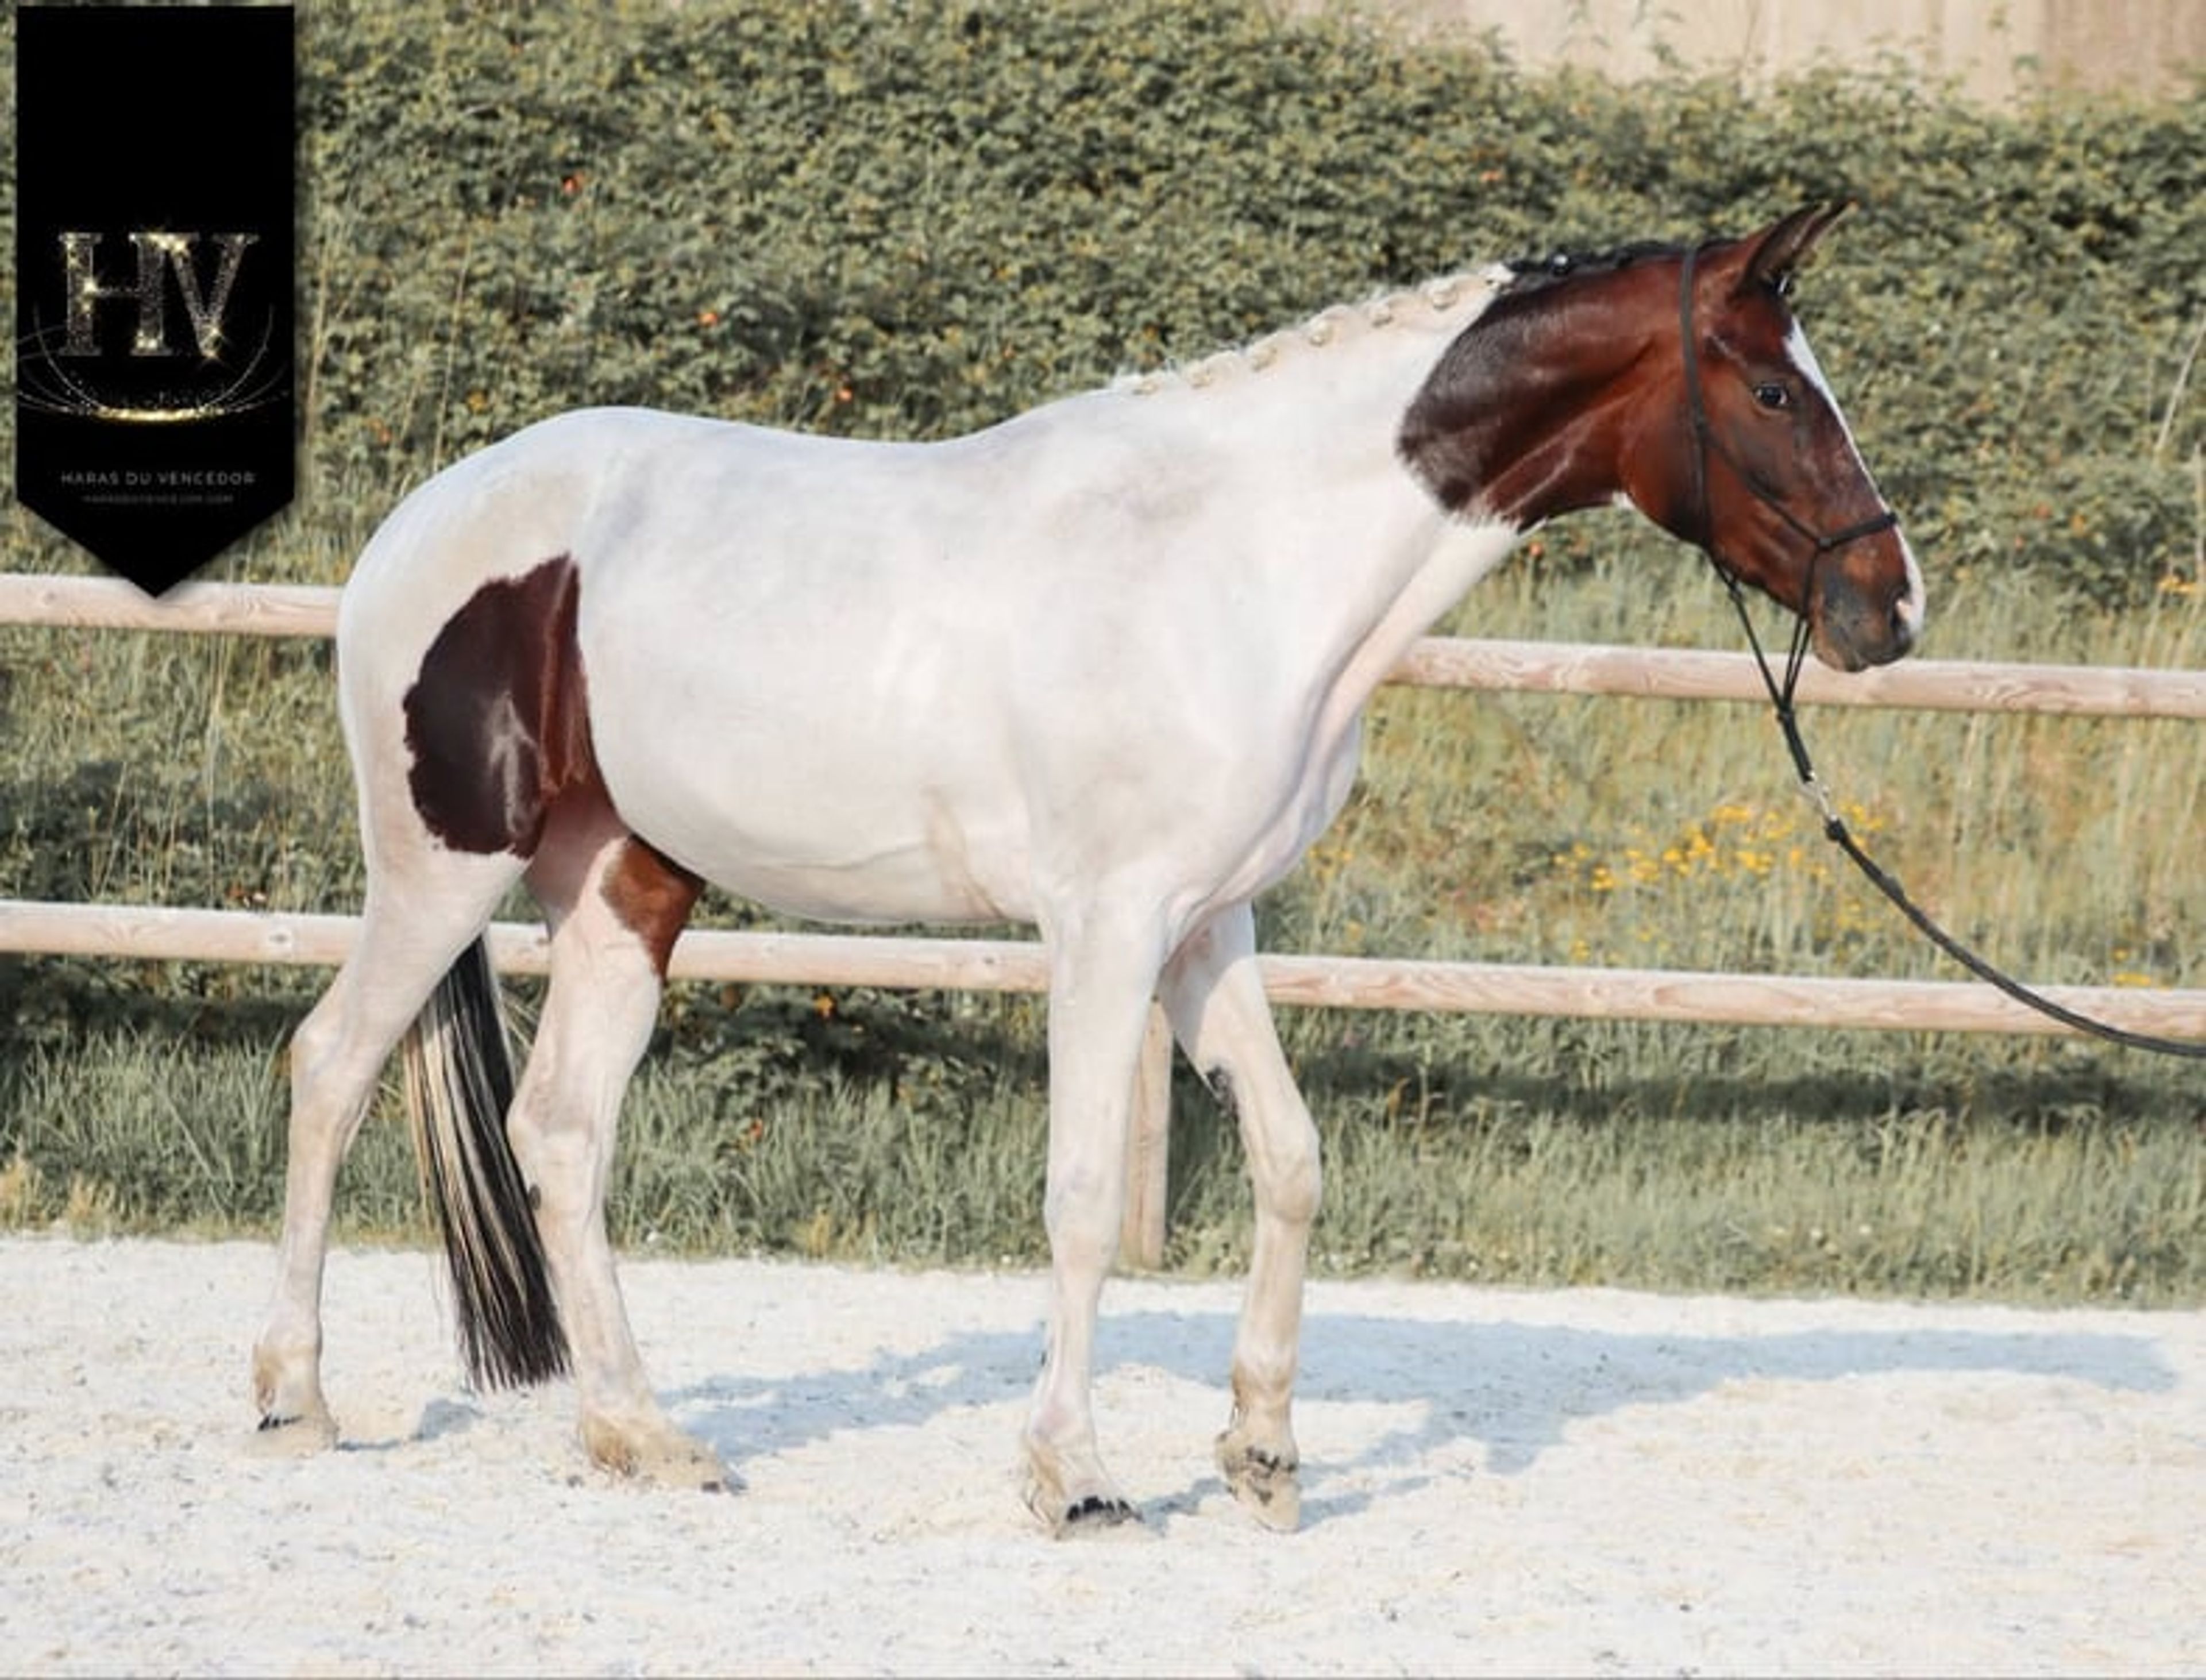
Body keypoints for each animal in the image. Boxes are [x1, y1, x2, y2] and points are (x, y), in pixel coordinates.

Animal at [250, 201, 1924, 1534]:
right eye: (1772, 386)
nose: (1889, 604)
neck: (1241, 562)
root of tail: (424, 520)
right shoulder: (1108, 930)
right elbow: (1078, 1192)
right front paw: (1078, 1475)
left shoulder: (1208, 927)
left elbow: (1291, 1159)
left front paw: (1262, 1455)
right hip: (439, 868)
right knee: (331, 1065)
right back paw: (296, 1399)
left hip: (624, 883)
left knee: (560, 1129)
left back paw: (639, 1435)